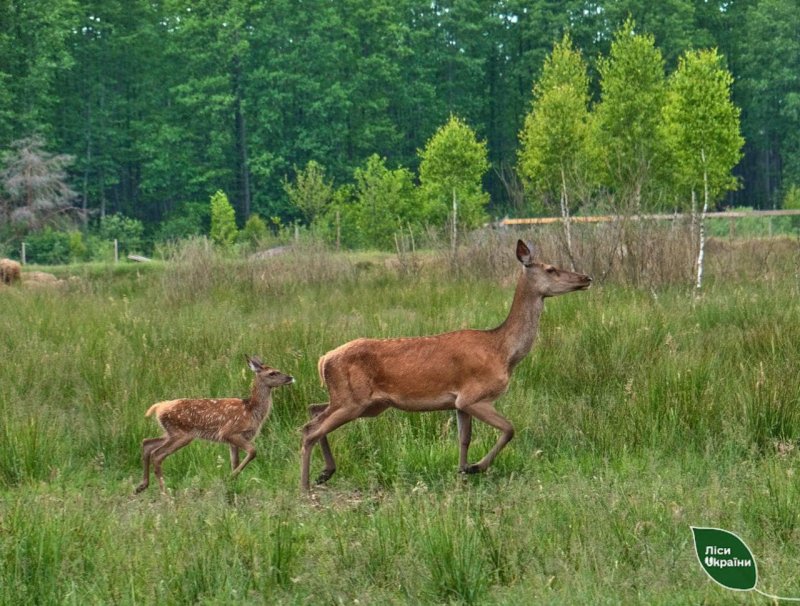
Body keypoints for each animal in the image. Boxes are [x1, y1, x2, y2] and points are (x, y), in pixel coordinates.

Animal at [136, 356, 293, 494]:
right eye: (272, 373)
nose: (290, 378)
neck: (251, 410)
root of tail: (158, 407)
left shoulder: (233, 441)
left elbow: (235, 462)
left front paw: (233, 485)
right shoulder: (230, 432)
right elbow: (253, 451)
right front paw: (229, 479)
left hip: (170, 432)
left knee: (147, 442)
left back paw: (142, 486)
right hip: (181, 433)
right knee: (157, 454)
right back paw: (165, 494)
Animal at [300, 240, 592, 491]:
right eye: (551, 268)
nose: (586, 278)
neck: (503, 351)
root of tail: (323, 359)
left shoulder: (458, 403)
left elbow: (464, 439)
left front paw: (462, 474)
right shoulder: (474, 396)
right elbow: (509, 428)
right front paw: (476, 467)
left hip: (365, 403)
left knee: (314, 410)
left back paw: (324, 473)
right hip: (353, 400)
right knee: (309, 430)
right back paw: (306, 485)